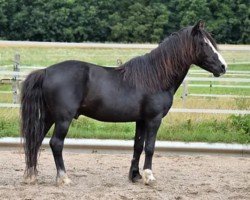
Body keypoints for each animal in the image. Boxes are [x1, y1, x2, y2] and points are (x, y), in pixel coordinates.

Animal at [20, 21, 227, 185]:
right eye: (204, 43)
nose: (223, 67)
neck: (156, 77)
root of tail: (46, 71)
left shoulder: (141, 120)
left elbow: (138, 146)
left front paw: (135, 176)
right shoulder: (154, 119)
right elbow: (150, 147)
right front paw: (149, 176)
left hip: (48, 117)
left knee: (36, 140)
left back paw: (31, 176)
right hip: (63, 119)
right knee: (56, 143)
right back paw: (63, 178)